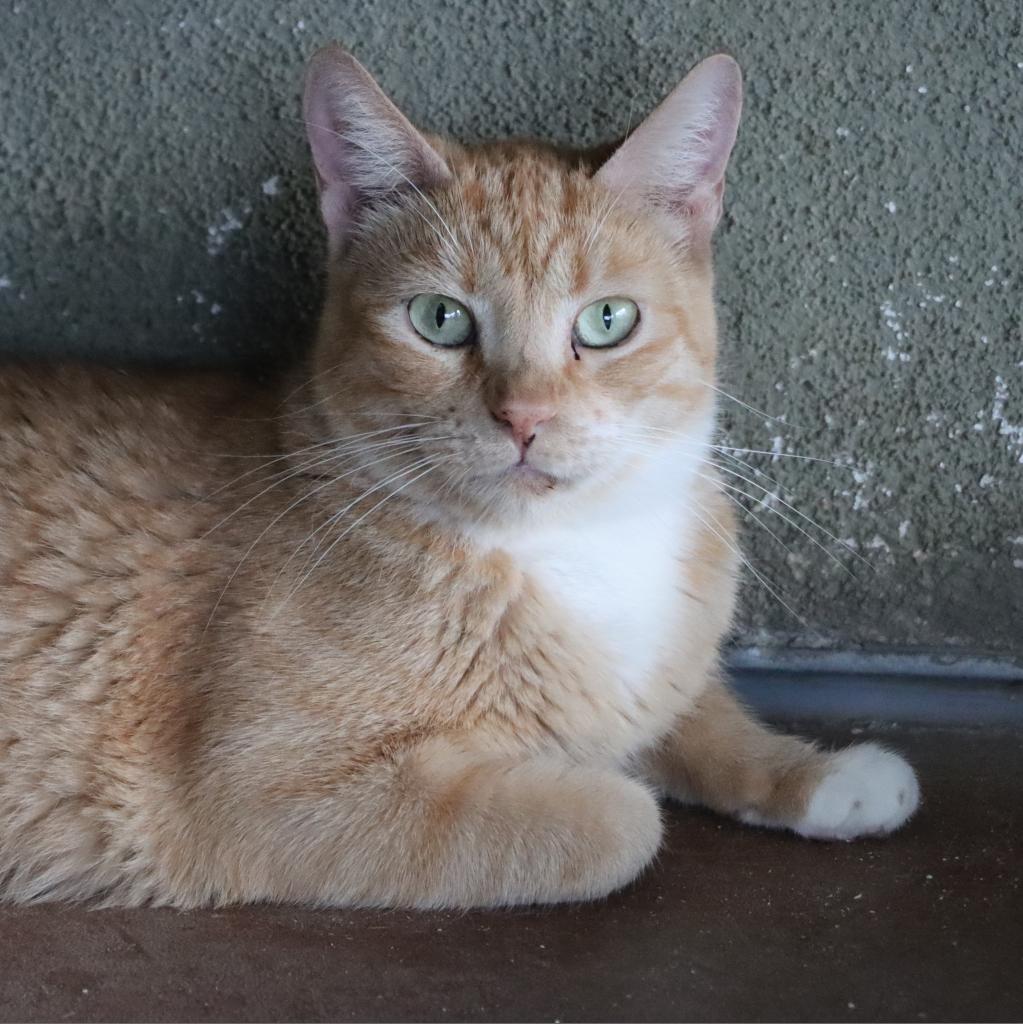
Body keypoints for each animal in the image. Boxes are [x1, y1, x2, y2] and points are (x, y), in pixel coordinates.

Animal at [0, 46, 921, 905]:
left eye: (607, 320)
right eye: (439, 320)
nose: (523, 417)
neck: (565, 553)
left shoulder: (663, 677)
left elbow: (701, 716)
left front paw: (821, 775)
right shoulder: (262, 795)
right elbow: (621, 818)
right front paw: (594, 771)